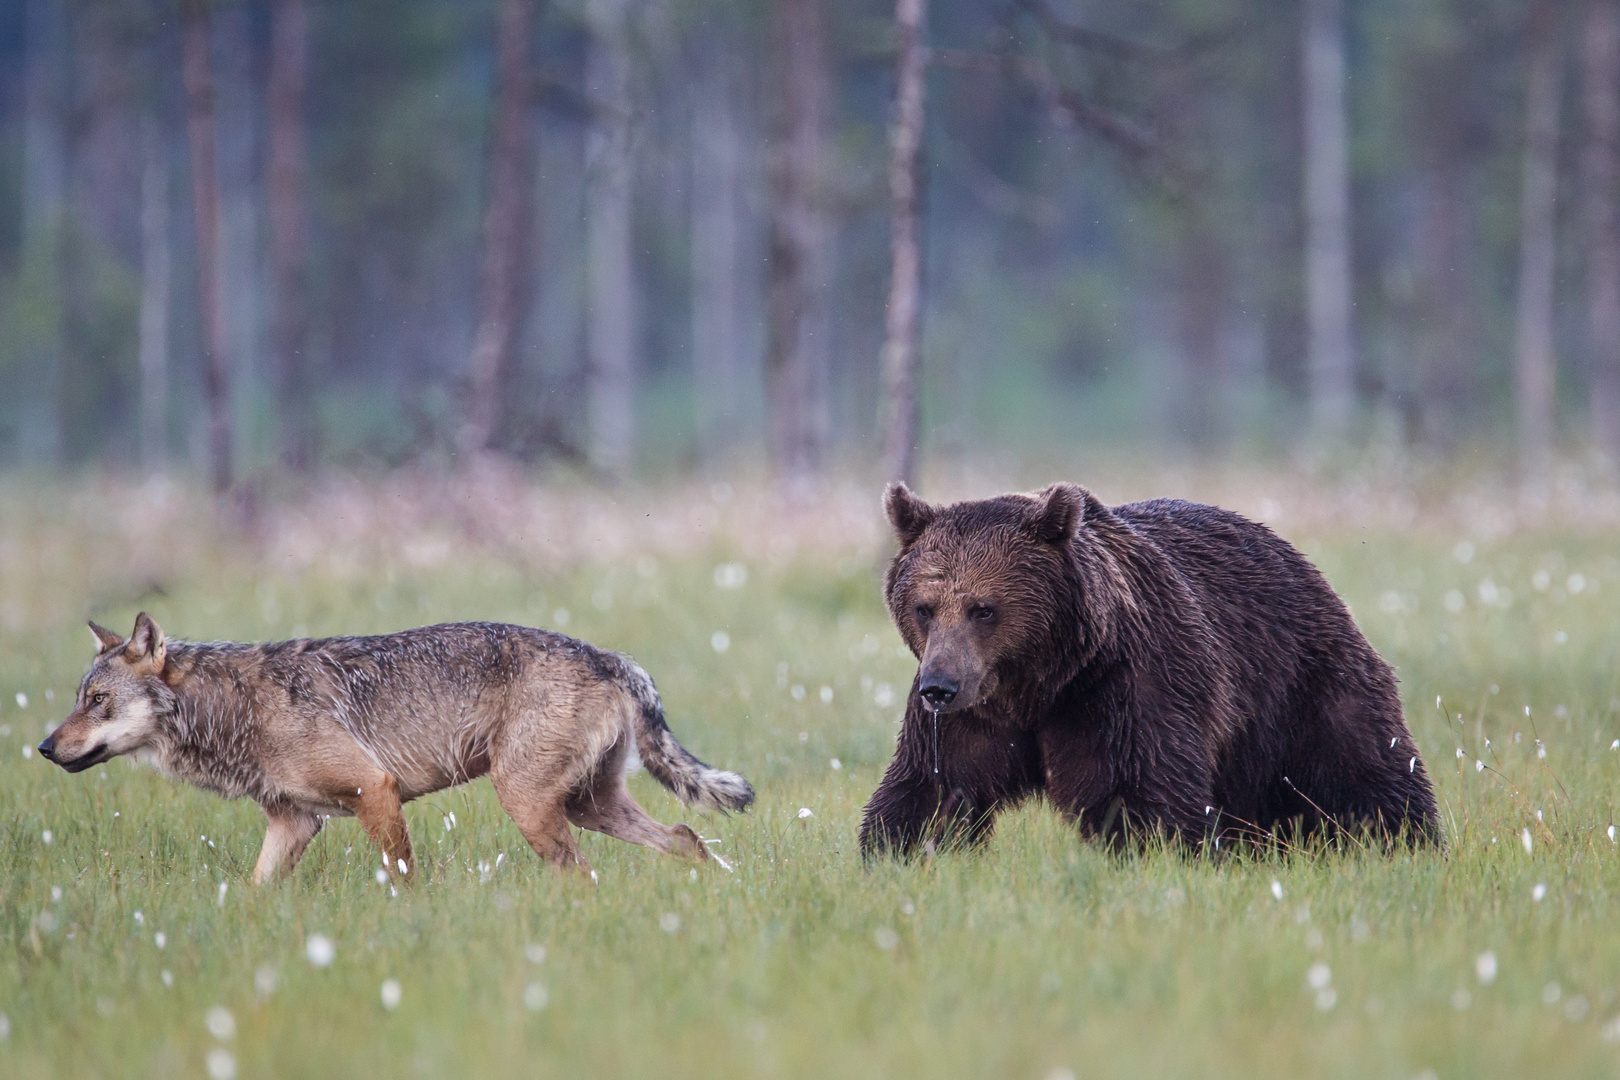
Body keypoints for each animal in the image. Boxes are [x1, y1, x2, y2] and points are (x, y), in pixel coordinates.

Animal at [42, 621, 751, 880]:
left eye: (97, 701)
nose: (45, 747)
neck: (235, 707)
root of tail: (609, 655)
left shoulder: (374, 793)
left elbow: (404, 879)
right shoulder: (294, 825)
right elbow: (251, 892)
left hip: (531, 805)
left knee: (587, 872)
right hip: (586, 806)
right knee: (686, 837)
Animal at [861, 485, 1445, 854]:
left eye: (983, 609)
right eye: (924, 608)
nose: (940, 687)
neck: (1041, 682)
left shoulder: (1127, 686)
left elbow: (1142, 793)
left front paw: (1151, 852)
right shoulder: (973, 717)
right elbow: (931, 790)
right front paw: (899, 853)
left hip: (1301, 681)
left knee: (1363, 766)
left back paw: (1405, 842)